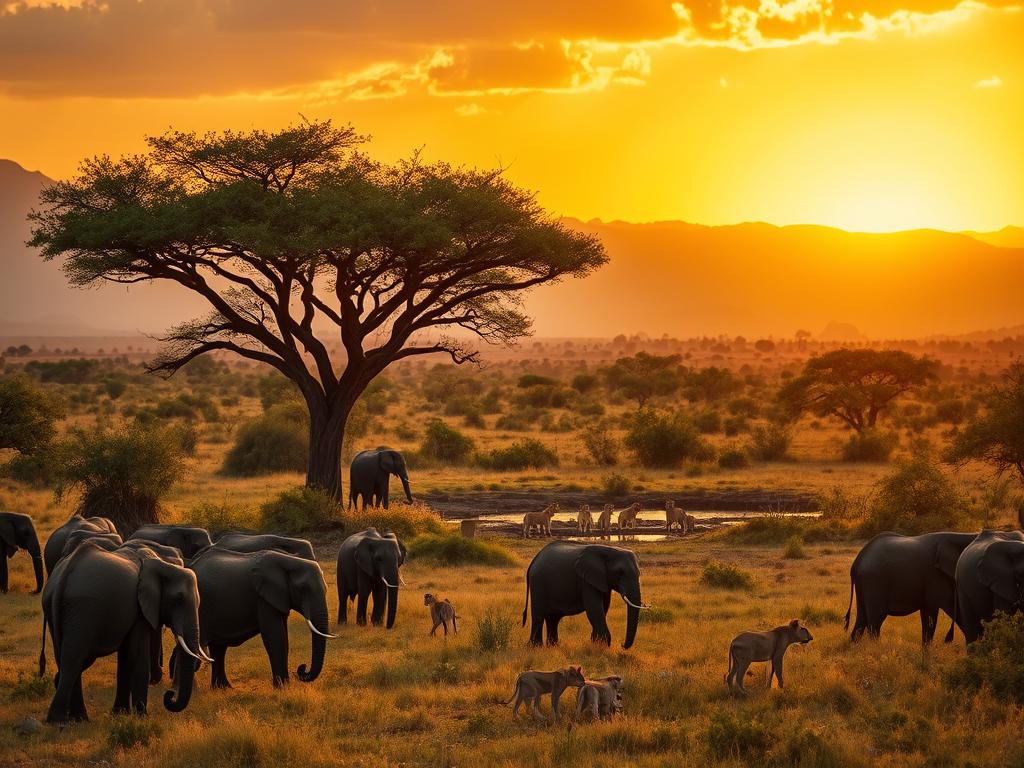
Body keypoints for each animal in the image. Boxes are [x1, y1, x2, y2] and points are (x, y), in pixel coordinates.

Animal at [40, 540, 207, 723]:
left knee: (67, 658)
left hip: (58, 611)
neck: (162, 562)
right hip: (82, 611)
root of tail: (62, 577)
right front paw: (142, 716)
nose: (169, 695)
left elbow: (126, 657)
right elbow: (137, 655)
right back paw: (60, 721)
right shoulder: (139, 608)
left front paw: (120, 714)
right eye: (178, 598)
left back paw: (78, 719)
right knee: (74, 660)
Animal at [178, 548, 335, 688]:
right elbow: (274, 635)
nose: (302, 668)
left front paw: (284, 686)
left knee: (218, 647)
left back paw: (222, 688)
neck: (290, 560)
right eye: (302, 589)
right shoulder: (263, 597)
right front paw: (282, 687)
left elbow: (283, 637)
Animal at [845, 531, 979, 643]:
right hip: (874, 581)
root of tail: (857, 562)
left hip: (864, 583)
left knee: (861, 621)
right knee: (875, 621)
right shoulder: (936, 576)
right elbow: (933, 613)